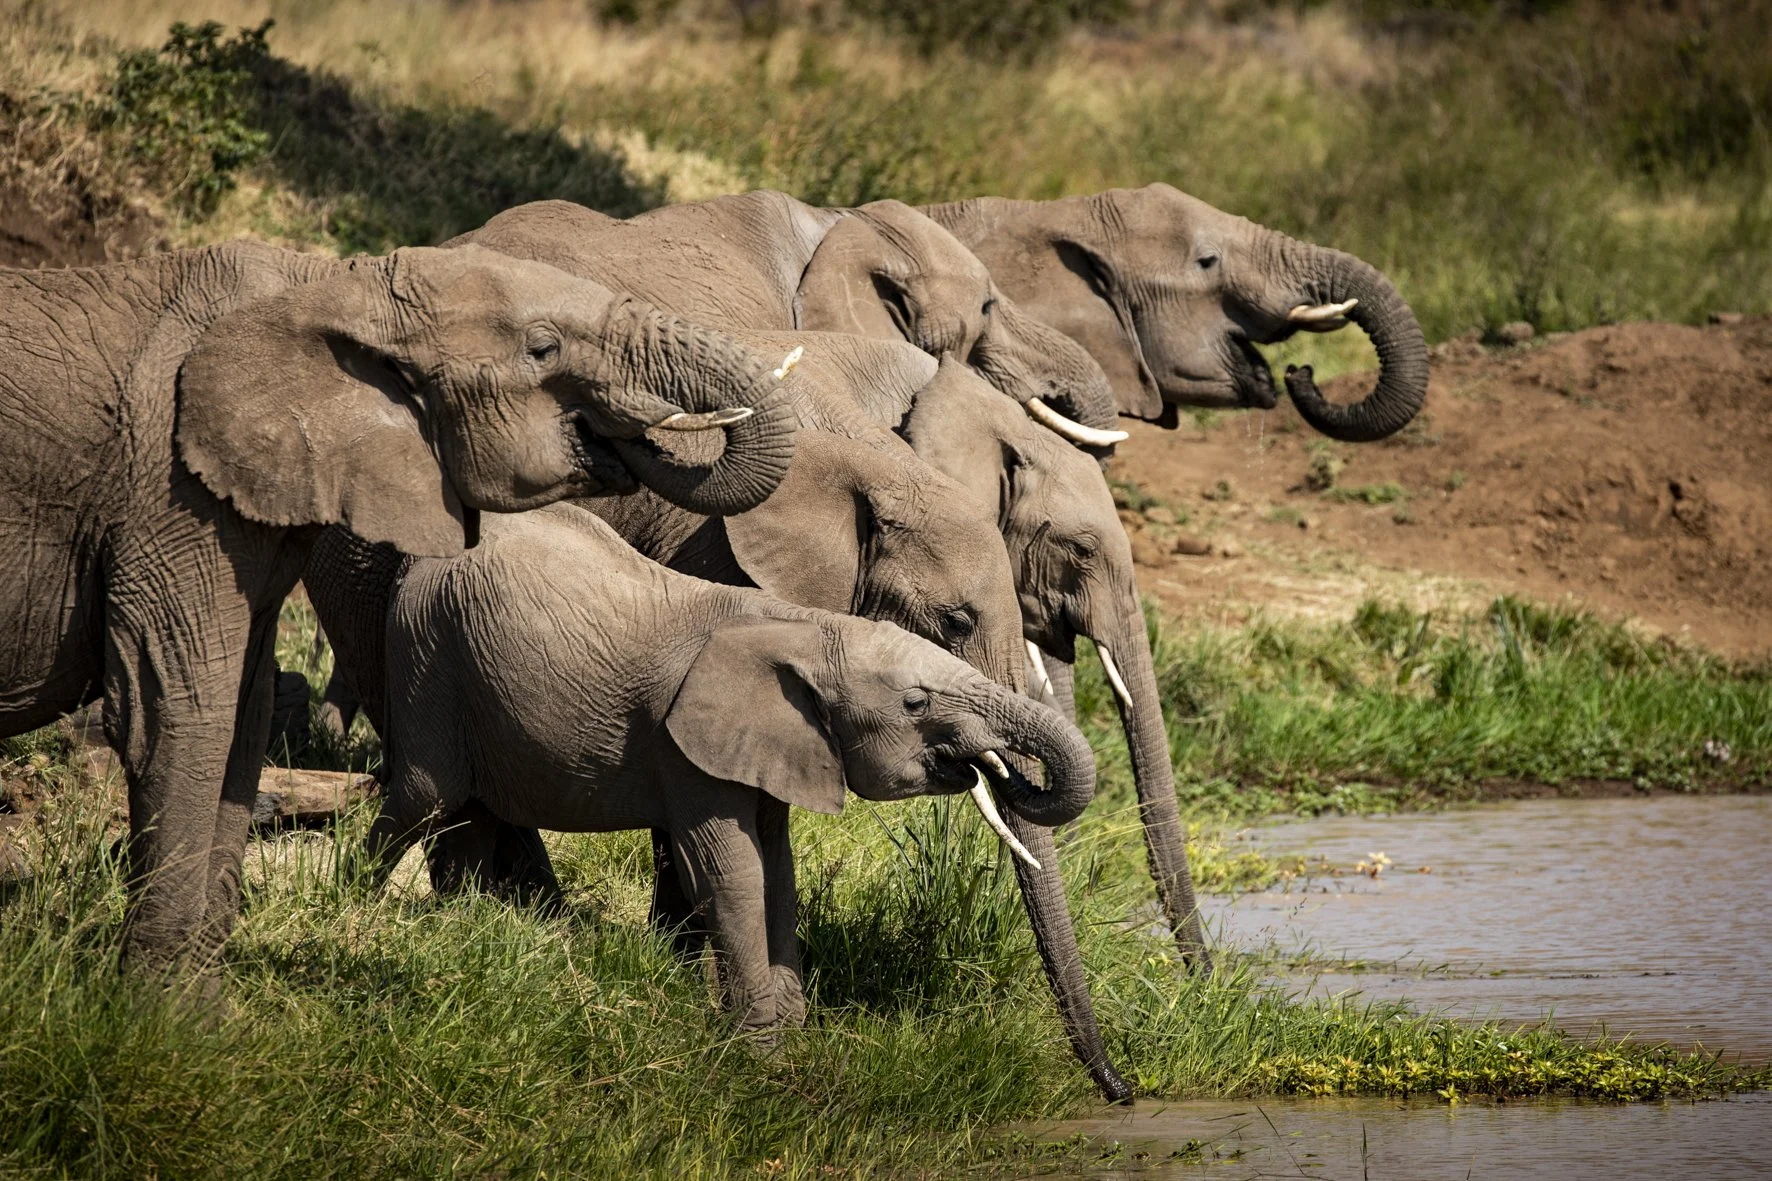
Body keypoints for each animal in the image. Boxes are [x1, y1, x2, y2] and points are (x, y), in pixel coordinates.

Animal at [0, 239, 798, 973]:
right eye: (542, 348)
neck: (331, 284)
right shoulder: (169, 494)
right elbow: (180, 710)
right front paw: (166, 1015)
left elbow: (243, 720)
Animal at [366, 502, 1105, 1058]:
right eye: (916, 703)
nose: (1116, 1089)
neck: (808, 630)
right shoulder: (686, 748)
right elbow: (732, 872)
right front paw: (760, 1050)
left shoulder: (776, 744)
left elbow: (777, 867)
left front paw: (792, 1033)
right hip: (427, 654)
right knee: (423, 797)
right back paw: (353, 907)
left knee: (474, 814)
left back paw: (465, 927)